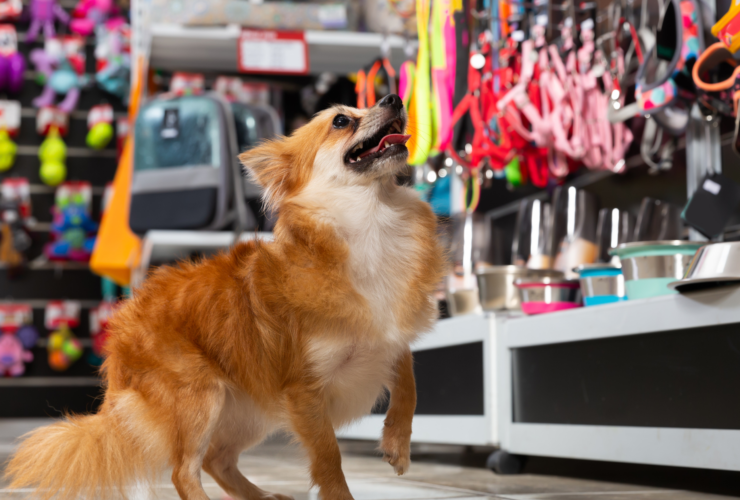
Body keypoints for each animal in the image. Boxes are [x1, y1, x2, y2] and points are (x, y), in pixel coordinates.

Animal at [4, 94, 446, 500]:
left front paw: (397, 442)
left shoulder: (387, 336)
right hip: (200, 397)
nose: (394, 97)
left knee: (217, 460)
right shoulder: (304, 390)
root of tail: (120, 333)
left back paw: (262, 496)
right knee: (185, 470)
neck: (373, 221)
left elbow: (409, 378)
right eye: (340, 121)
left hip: (251, 409)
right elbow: (328, 459)